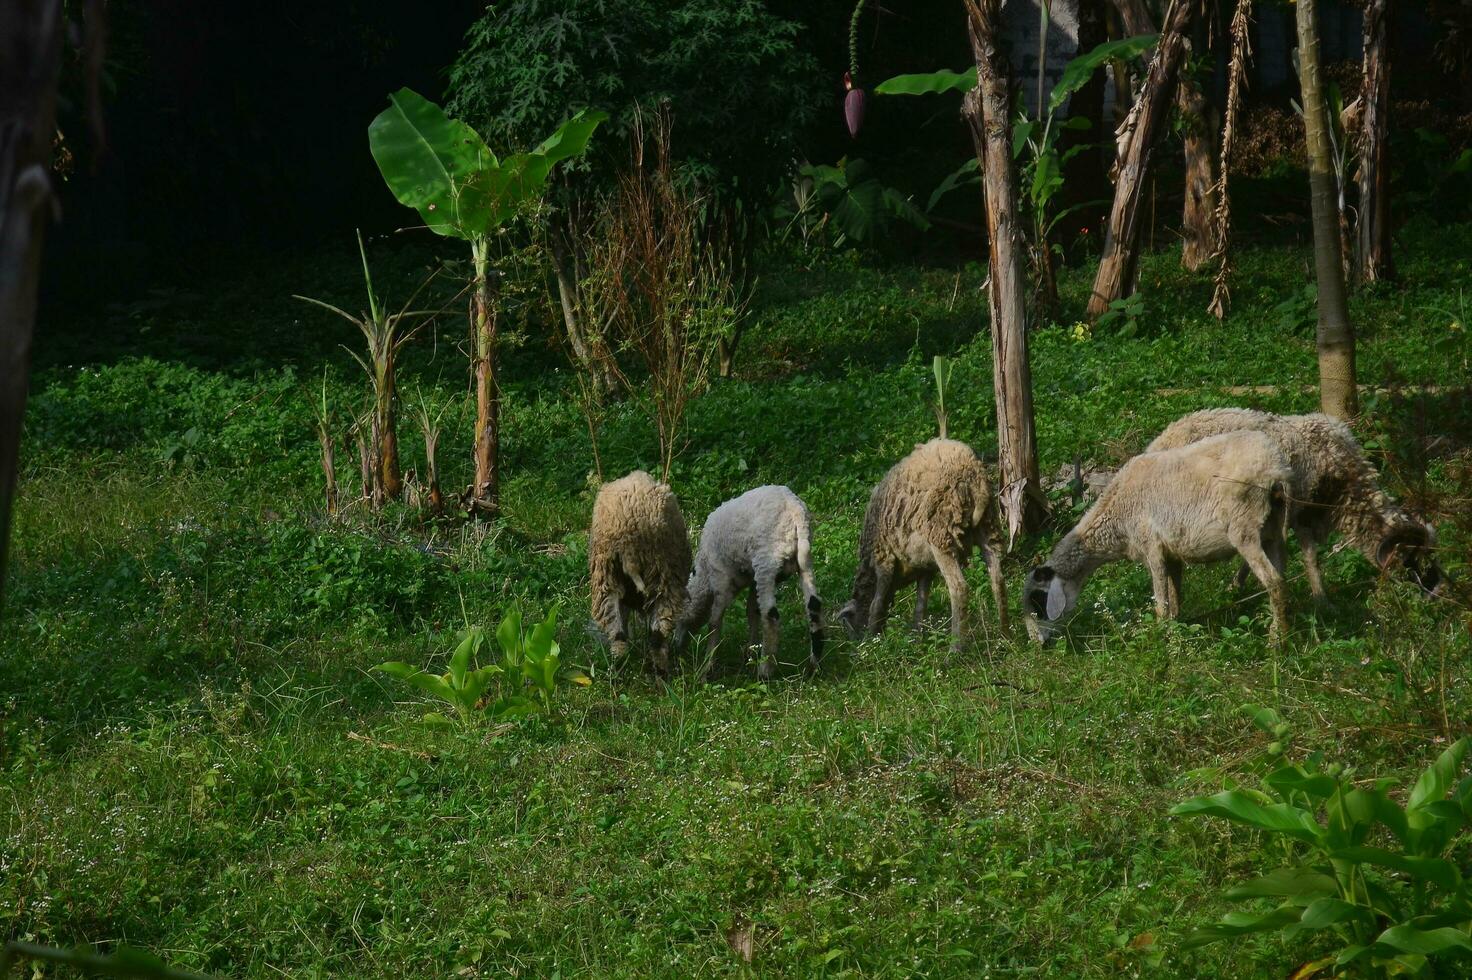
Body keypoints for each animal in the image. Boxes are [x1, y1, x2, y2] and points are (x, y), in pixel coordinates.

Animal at [680, 482, 824, 679]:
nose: (677, 649)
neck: (703, 575)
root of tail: (795, 512)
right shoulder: (752, 580)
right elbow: (751, 611)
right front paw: (751, 651)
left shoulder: (721, 579)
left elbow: (715, 621)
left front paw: (706, 667)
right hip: (804, 563)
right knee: (813, 607)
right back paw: (813, 666)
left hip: (767, 562)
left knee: (770, 616)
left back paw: (765, 671)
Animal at [841, 438, 1012, 644]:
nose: (857, 643)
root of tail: (975, 479)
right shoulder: (925, 567)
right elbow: (921, 603)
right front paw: (916, 637)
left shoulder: (884, 558)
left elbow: (877, 603)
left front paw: (874, 638)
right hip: (988, 527)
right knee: (998, 581)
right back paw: (1005, 637)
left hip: (941, 535)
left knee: (959, 589)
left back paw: (956, 647)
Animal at [1024, 426, 1289, 641]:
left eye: (1038, 601)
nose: (1039, 645)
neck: (1116, 517)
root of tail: (1275, 469)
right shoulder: (1172, 553)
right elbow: (1175, 598)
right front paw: (1176, 631)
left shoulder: (1152, 548)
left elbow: (1161, 605)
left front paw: (1162, 642)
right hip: (1274, 530)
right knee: (1281, 576)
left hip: (1244, 529)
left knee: (1273, 580)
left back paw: (1277, 641)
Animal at [1142, 403, 1442, 594]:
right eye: (1410, 559)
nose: (1436, 593)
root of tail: (1160, 441)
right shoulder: (1301, 513)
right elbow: (1311, 559)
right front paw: (1323, 602)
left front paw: (1237, 583)